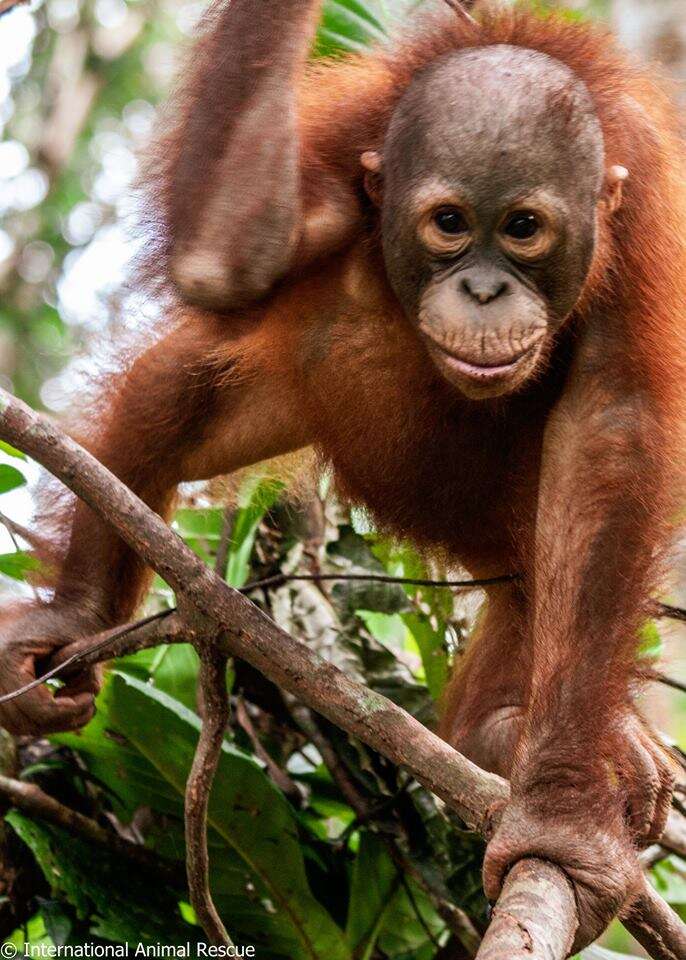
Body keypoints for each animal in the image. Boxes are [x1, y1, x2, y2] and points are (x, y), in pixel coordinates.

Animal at [0, 1, 684, 948]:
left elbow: (610, 434)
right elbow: (227, 262)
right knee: (180, 382)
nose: (482, 291)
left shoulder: (644, 220)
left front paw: (561, 824)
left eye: (523, 228)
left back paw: (509, 736)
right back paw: (78, 616)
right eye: (448, 222)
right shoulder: (338, 175)